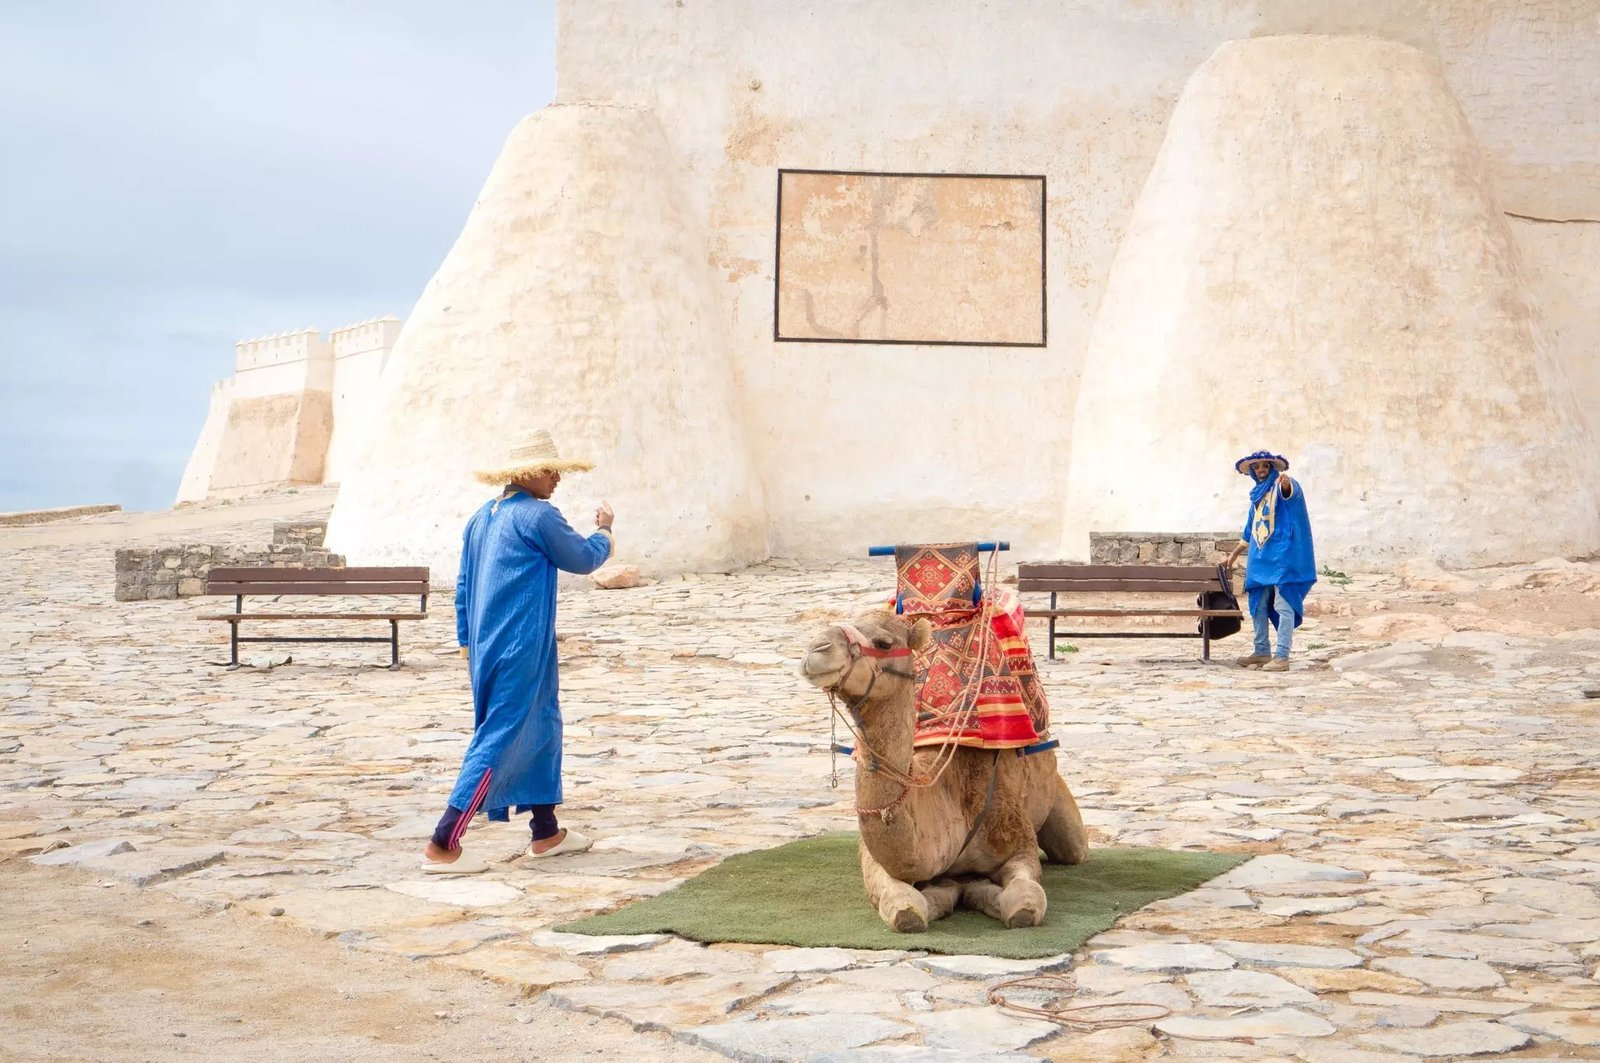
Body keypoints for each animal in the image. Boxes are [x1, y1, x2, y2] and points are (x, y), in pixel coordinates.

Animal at [799, 608, 1089, 932]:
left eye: (884, 642)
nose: (817, 649)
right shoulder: (873, 860)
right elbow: (902, 907)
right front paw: (947, 891)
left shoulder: (1019, 843)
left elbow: (1025, 901)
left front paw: (980, 890)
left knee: (1073, 848)